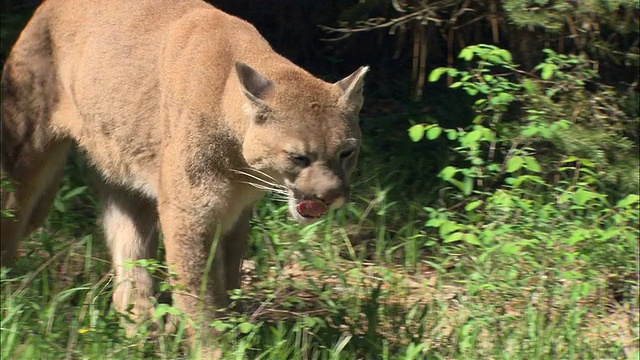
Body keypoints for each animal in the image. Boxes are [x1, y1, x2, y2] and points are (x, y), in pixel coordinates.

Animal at [0, 0, 368, 352]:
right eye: (298, 157)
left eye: (347, 153)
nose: (330, 195)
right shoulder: (189, 213)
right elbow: (198, 288)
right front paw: (214, 347)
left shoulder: (235, 213)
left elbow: (227, 275)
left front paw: (227, 326)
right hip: (25, 155)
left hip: (126, 181)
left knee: (129, 269)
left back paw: (143, 334)